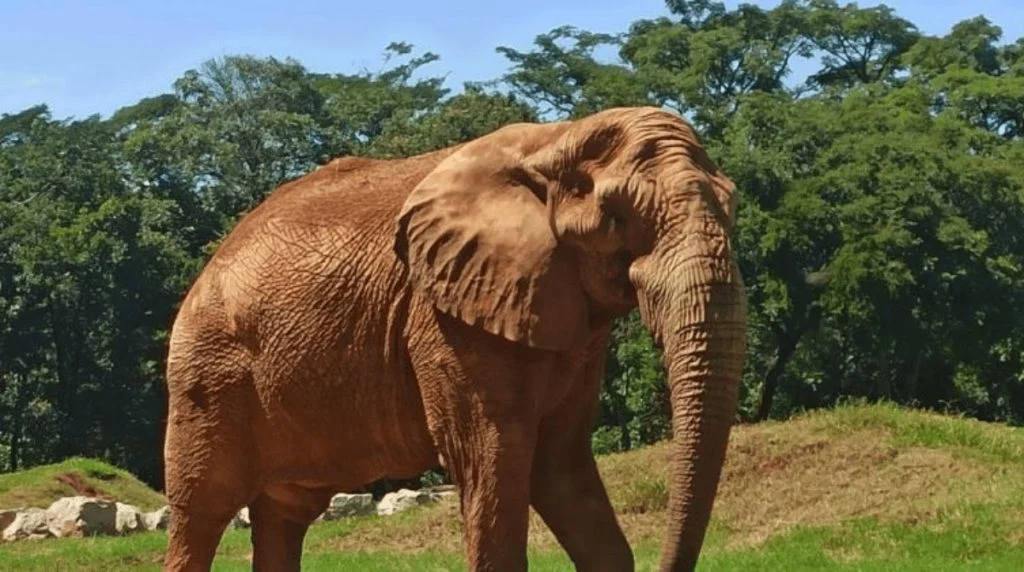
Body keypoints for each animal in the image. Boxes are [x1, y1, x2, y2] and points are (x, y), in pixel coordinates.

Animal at [161, 105, 747, 572]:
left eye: (734, 204)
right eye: (616, 216)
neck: (558, 138)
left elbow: (562, 466)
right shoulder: (445, 316)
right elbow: (492, 455)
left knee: (284, 514)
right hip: (206, 375)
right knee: (202, 511)